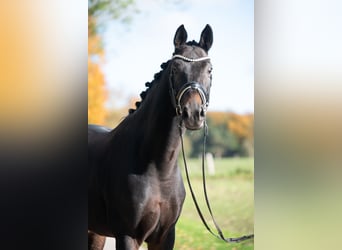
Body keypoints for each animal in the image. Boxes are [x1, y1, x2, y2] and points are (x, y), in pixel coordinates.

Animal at [87, 24, 212, 250]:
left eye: (209, 70)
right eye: (175, 69)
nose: (193, 114)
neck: (157, 168)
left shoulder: (165, 236)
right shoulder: (127, 236)